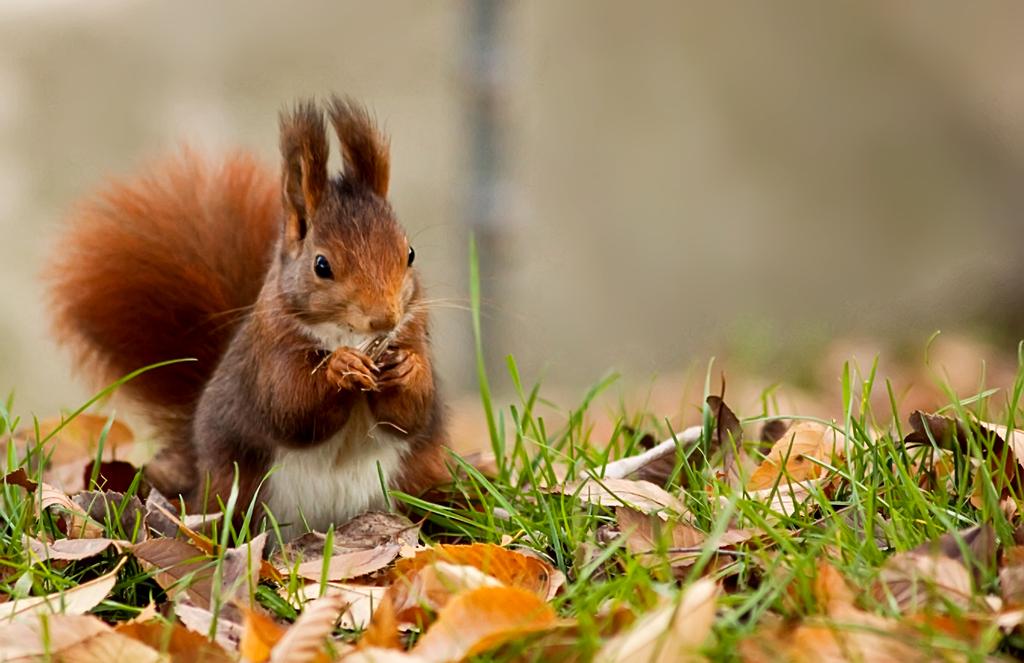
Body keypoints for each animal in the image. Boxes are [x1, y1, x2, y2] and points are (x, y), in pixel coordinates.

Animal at [48, 94, 448, 532]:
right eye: (322, 265)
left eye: (410, 254)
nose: (384, 319)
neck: (348, 334)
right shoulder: (269, 353)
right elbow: (290, 405)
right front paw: (340, 367)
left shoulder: (415, 331)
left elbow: (411, 413)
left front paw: (407, 368)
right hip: (236, 490)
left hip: (418, 478)